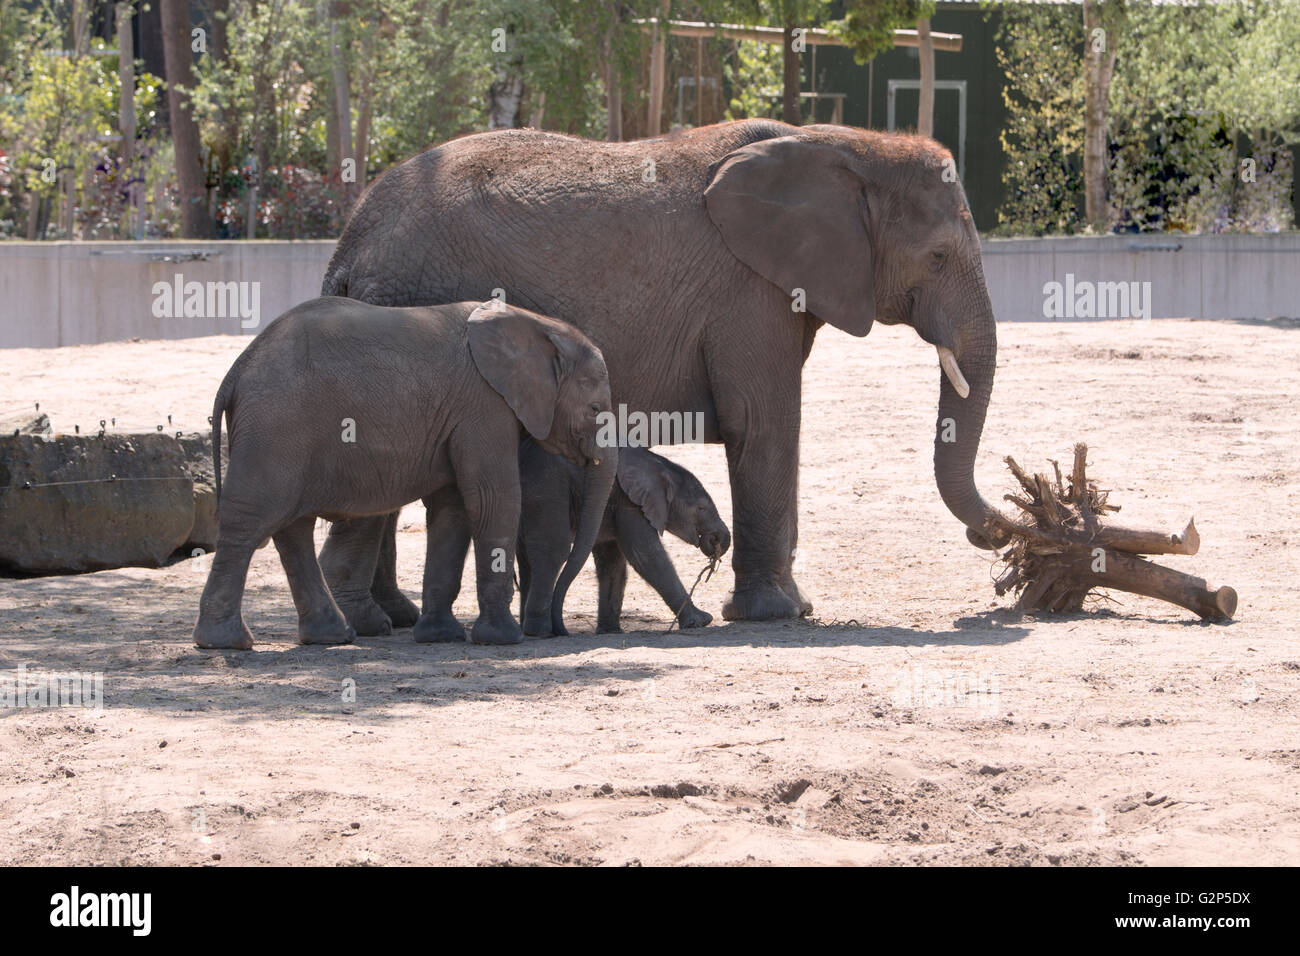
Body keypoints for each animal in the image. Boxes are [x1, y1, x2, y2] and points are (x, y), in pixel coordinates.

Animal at [193, 297, 618, 650]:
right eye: (595, 409)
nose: (560, 630)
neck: (537, 324)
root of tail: (235, 372)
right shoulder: (484, 404)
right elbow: (492, 499)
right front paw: (503, 640)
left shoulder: (462, 415)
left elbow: (453, 510)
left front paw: (439, 637)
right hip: (275, 427)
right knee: (249, 522)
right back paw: (225, 643)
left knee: (292, 529)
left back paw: (332, 637)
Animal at [512, 442, 733, 634]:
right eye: (701, 508)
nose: (717, 539)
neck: (659, 466)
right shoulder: (629, 501)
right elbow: (645, 554)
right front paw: (702, 621)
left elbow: (612, 561)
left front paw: (610, 632)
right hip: (546, 488)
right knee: (551, 550)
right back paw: (542, 631)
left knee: (525, 558)